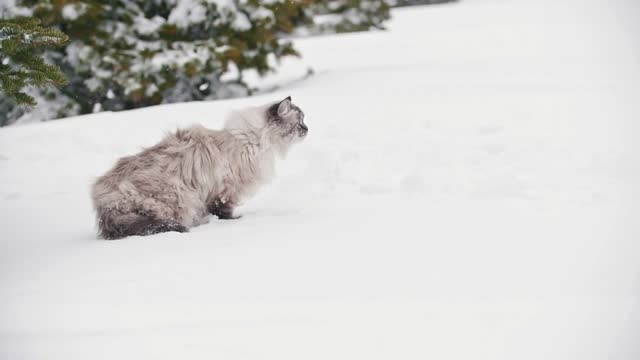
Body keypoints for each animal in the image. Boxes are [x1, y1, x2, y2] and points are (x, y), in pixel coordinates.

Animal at [92, 97, 308, 240]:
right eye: (299, 123)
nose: (308, 129)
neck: (253, 140)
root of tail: (102, 200)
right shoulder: (226, 191)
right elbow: (223, 212)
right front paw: (235, 220)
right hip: (175, 196)